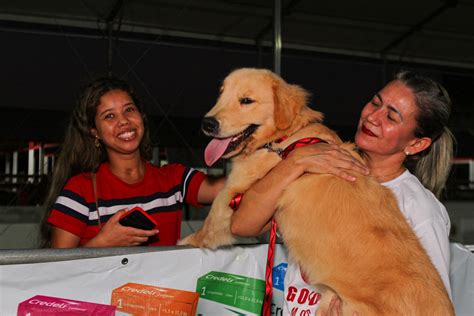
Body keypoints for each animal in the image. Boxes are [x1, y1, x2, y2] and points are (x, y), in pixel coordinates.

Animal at [180, 68, 454, 314]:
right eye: (221, 95)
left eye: (246, 100)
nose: (207, 123)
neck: (285, 138)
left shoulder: (233, 192)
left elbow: (209, 223)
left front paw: (187, 241)